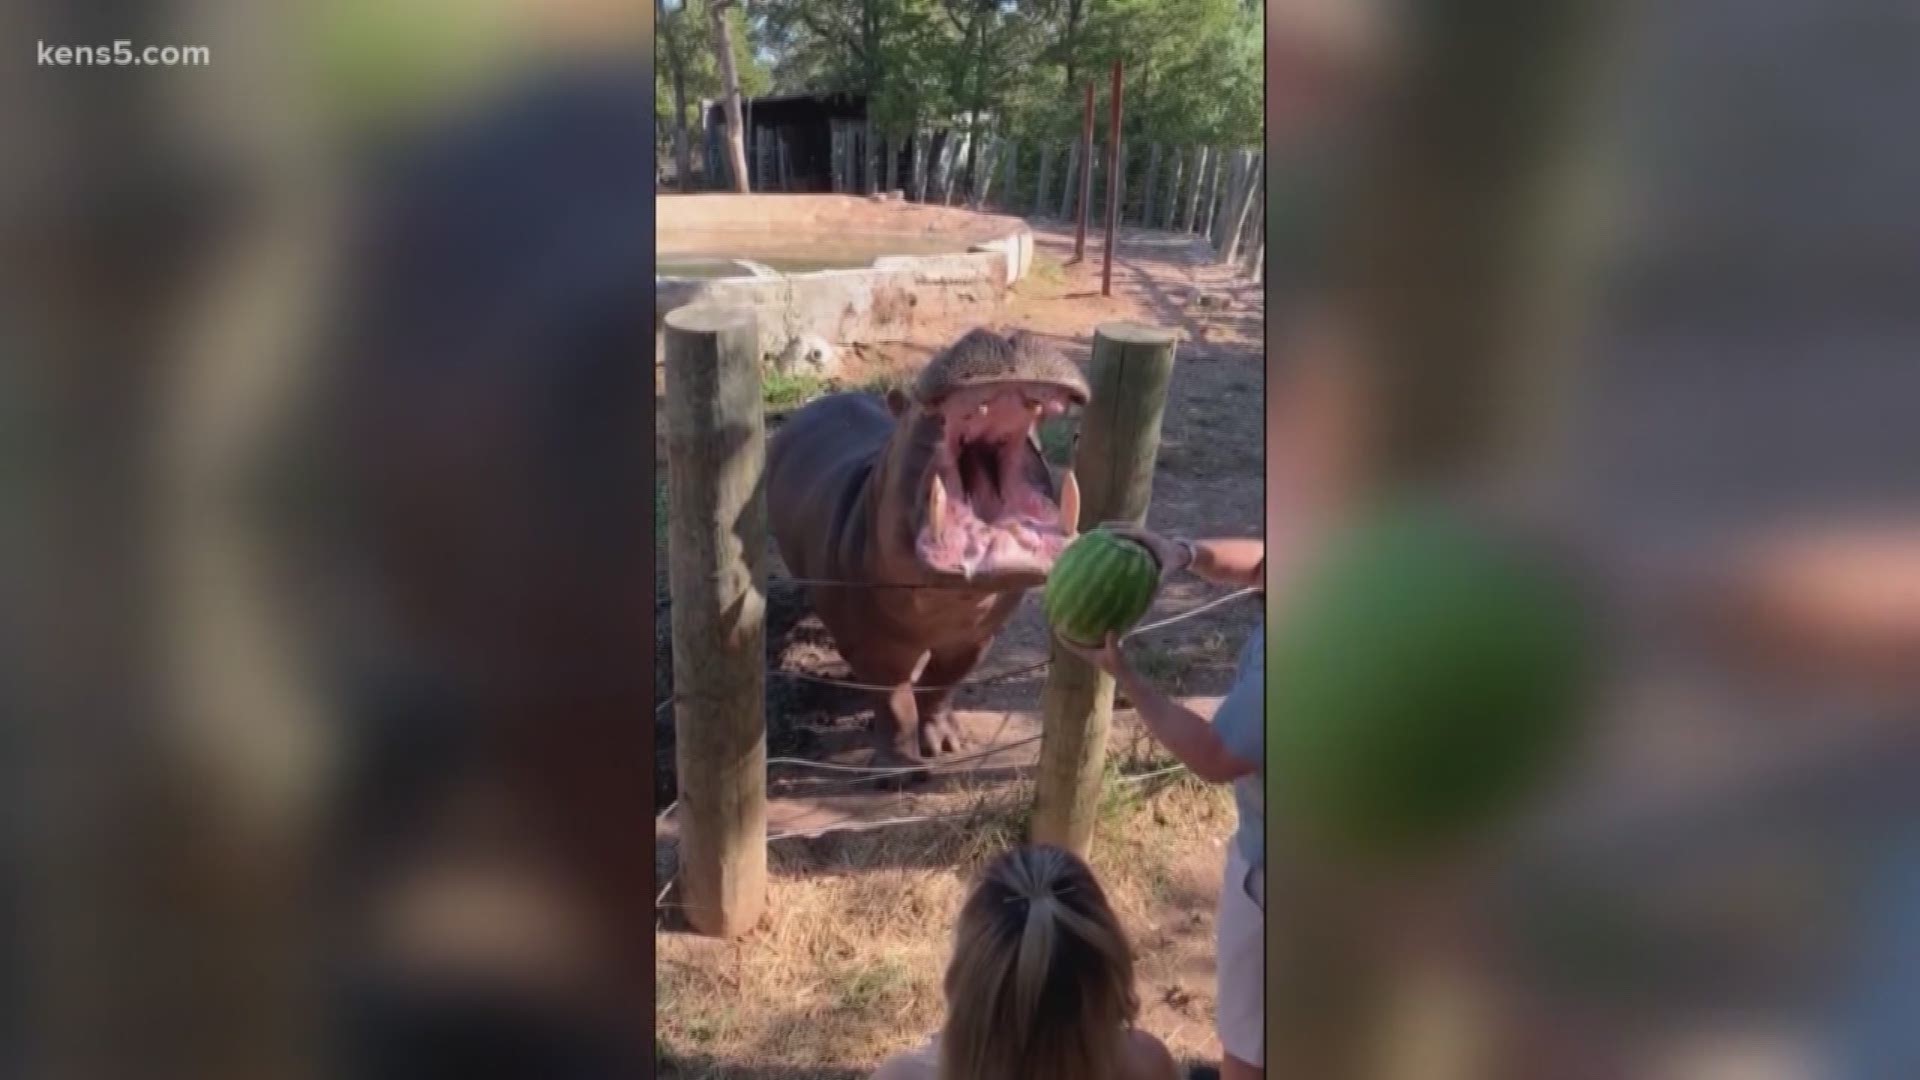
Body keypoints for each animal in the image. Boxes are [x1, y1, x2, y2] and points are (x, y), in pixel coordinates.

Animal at [768, 328, 1098, 764]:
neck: (948, 603)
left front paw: (944, 743)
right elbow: (895, 703)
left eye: (1036, 439)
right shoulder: (872, 647)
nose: (1003, 333)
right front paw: (899, 767)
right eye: (909, 407)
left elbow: (940, 684)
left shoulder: (976, 638)